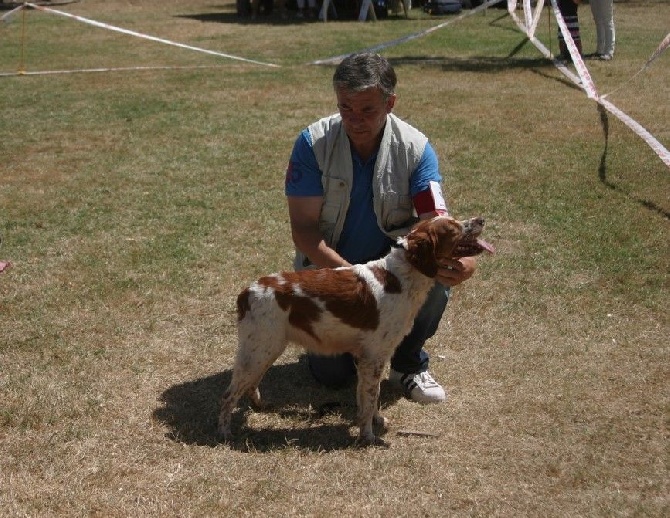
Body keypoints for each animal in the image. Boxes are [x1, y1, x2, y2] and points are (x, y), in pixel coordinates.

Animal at [219, 215, 494, 446]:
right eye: (453, 228)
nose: (480, 219)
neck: (402, 278)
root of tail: (248, 291)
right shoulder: (373, 357)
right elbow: (371, 398)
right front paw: (368, 436)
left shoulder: (369, 358)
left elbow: (370, 397)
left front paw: (375, 421)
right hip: (260, 349)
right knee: (228, 395)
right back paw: (225, 433)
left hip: (267, 348)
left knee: (251, 383)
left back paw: (259, 405)